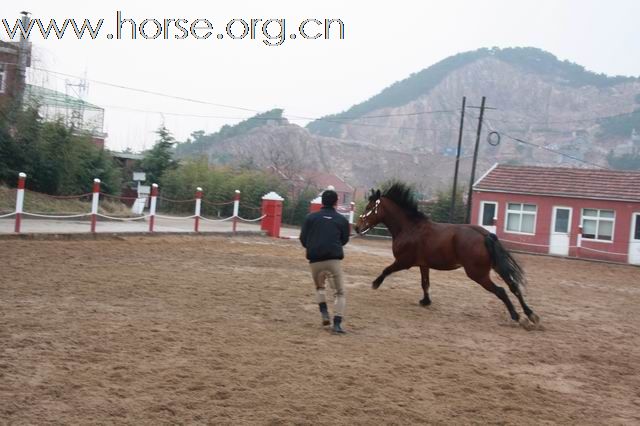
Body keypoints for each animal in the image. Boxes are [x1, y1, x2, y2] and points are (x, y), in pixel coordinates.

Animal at [356, 183, 540, 330]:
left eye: (368, 208)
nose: (357, 227)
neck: (409, 228)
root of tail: (484, 235)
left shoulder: (404, 261)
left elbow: (386, 270)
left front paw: (375, 284)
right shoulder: (423, 264)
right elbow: (425, 283)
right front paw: (425, 301)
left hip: (477, 273)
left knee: (501, 290)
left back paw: (516, 316)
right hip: (495, 267)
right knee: (513, 286)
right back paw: (531, 315)